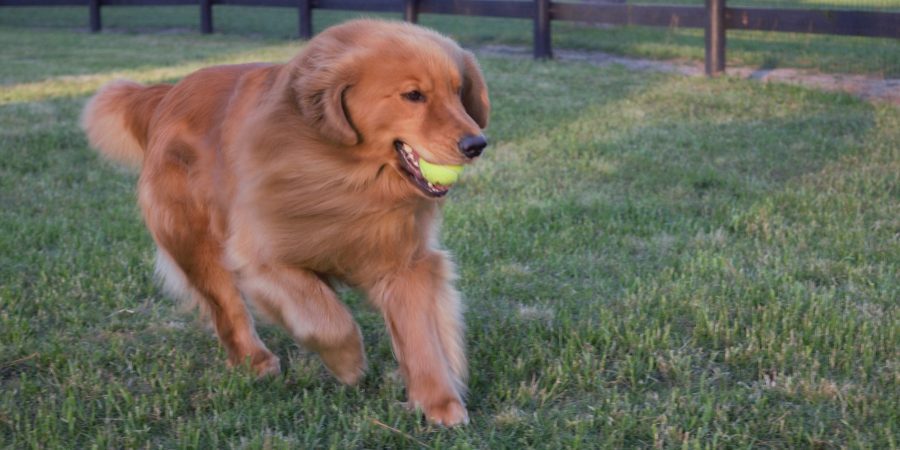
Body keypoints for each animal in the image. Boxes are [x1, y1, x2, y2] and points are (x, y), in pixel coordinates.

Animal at [82, 18, 492, 426]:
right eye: (413, 95)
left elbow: (420, 336)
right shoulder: (262, 257)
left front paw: (439, 403)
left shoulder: (406, 261)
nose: (476, 144)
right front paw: (349, 364)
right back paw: (255, 360)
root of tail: (166, 94)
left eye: (458, 91)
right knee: (226, 307)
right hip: (193, 241)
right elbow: (327, 319)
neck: (346, 177)